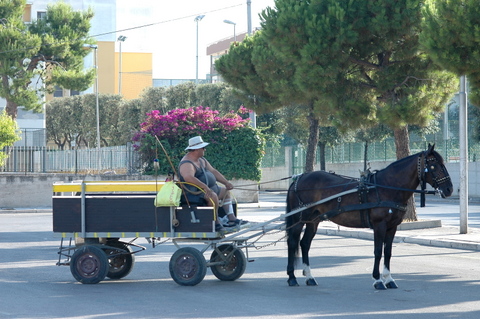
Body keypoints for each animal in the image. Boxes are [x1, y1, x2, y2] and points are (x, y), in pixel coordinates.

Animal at [286, 145, 452, 290]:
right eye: (434, 165)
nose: (449, 189)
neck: (387, 187)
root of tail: (298, 178)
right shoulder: (379, 226)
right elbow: (378, 251)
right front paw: (378, 280)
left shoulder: (392, 227)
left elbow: (388, 252)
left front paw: (389, 279)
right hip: (298, 219)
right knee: (293, 242)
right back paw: (292, 277)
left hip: (313, 220)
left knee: (305, 243)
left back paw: (309, 277)